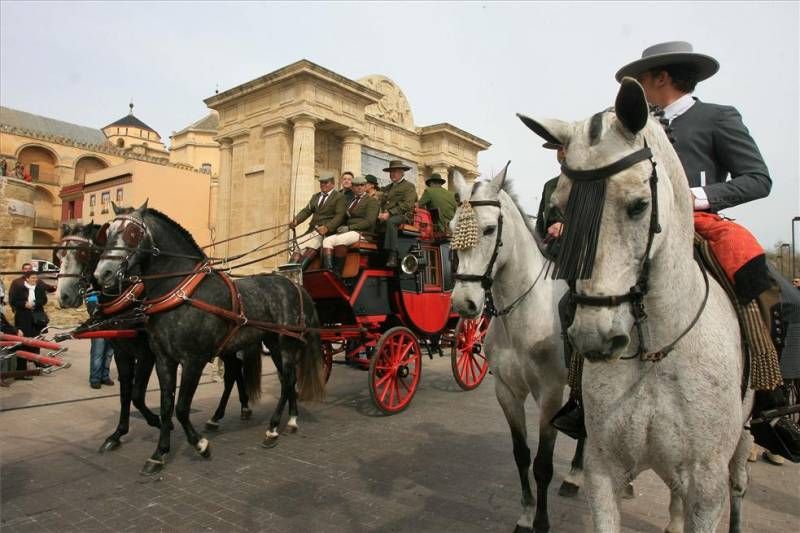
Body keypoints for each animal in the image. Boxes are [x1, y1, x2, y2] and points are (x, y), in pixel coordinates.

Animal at [94, 204, 328, 474]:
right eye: (108, 232)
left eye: (132, 233)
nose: (103, 273)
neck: (181, 291)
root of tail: (295, 286)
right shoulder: (163, 359)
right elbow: (166, 406)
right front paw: (159, 453)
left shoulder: (192, 360)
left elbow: (181, 408)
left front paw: (200, 445)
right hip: (274, 343)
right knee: (286, 379)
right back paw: (291, 419)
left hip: (286, 344)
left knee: (288, 379)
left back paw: (272, 429)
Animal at [450, 167, 580, 532]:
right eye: (452, 229)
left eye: (489, 229)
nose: (464, 303)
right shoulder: (506, 390)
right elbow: (521, 455)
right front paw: (524, 516)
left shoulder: (550, 395)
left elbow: (543, 464)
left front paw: (541, 522)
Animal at [520, 79, 752, 532]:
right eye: (559, 209)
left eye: (639, 205)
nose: (594, 337)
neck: (655, 351)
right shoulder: (604, 470)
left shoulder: (707, 488)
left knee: (737, 485)